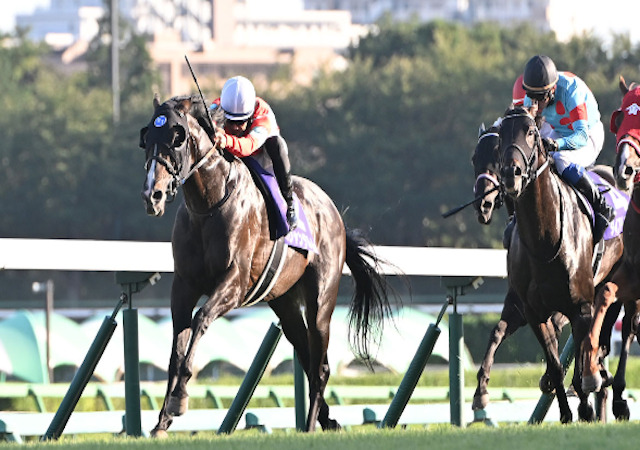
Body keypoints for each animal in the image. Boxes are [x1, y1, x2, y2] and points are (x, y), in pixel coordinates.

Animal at [139, 95, 396, 436]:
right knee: (307, 357)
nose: (151, 195)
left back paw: (311, 425)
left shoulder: (234, 284)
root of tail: (332, 211)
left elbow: (200, 321)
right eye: (147, 139)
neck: (208, 207)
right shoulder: (183, 285)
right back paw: (327, 419)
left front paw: (179, 398)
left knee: (321, 366)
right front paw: (162, 419)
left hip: (321, 301)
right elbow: (177, 346)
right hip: (284, 302)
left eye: (176, 138)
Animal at [498, 106, 624, 422]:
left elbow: (579, 363)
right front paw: (567, 414)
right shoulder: (534, 313)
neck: (544, 240)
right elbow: (556, 366)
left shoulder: (579, 307)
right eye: (501, 133)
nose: (510, 174)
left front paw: (585, 407)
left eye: (531, 132)